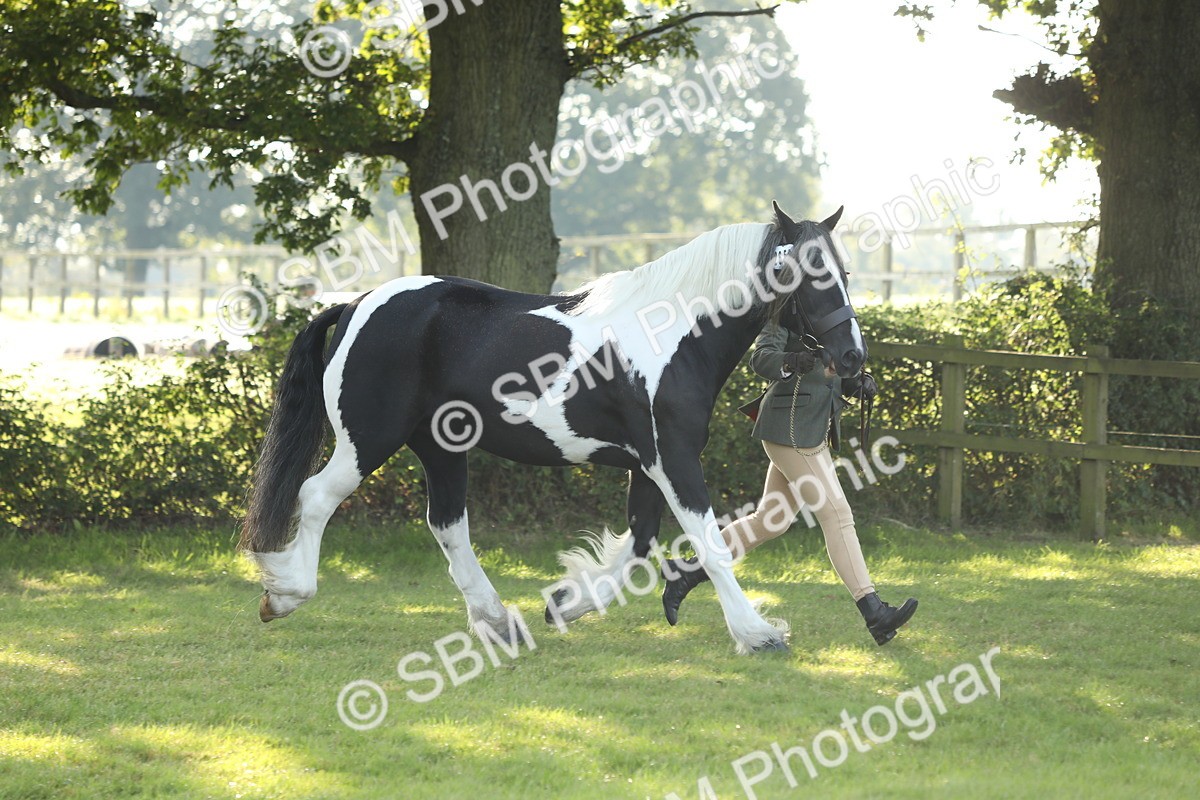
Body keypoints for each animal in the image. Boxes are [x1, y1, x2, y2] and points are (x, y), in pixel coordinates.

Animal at [239, 202, 866, 654]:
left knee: (448, 525)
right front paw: (758, 634)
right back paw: (283, 596)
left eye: (843, 270)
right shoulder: (673, 459)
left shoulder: (647, 465)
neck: (671, 333)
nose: (852, 357)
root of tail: (354, 305)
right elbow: (708, 544)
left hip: (441, 447)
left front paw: (566, 602)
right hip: (368, 439)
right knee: (316, 496)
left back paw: (499, 624)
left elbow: (639, 545)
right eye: (803, 273)